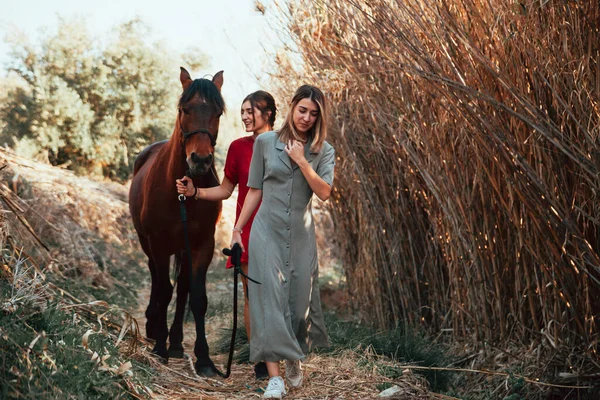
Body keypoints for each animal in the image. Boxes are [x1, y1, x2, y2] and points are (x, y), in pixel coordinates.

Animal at [129, 67, 225, 376]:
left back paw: (177, 343)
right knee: (157, 279)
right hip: (147, 243)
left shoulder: (203, 245)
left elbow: (196, 297)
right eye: (184, 109)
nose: (200, 160)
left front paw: (203, 358)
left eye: (218, 112)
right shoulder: (158, 244)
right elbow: (163, 290)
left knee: (182, 288)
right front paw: (160, 346)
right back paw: (153, 326)